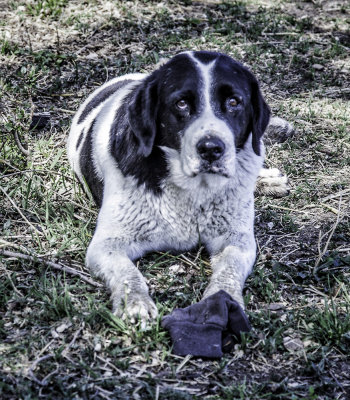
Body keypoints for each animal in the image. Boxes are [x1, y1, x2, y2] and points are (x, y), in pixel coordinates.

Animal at [67, 50, 290, 324]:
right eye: (181, 103)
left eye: (234, 102)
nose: (211, 149)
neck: (193, 189)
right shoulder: (107, 245)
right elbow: (127, 273)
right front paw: (136, 303)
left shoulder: (237, 239)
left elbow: (229, 270)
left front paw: (224, 301)